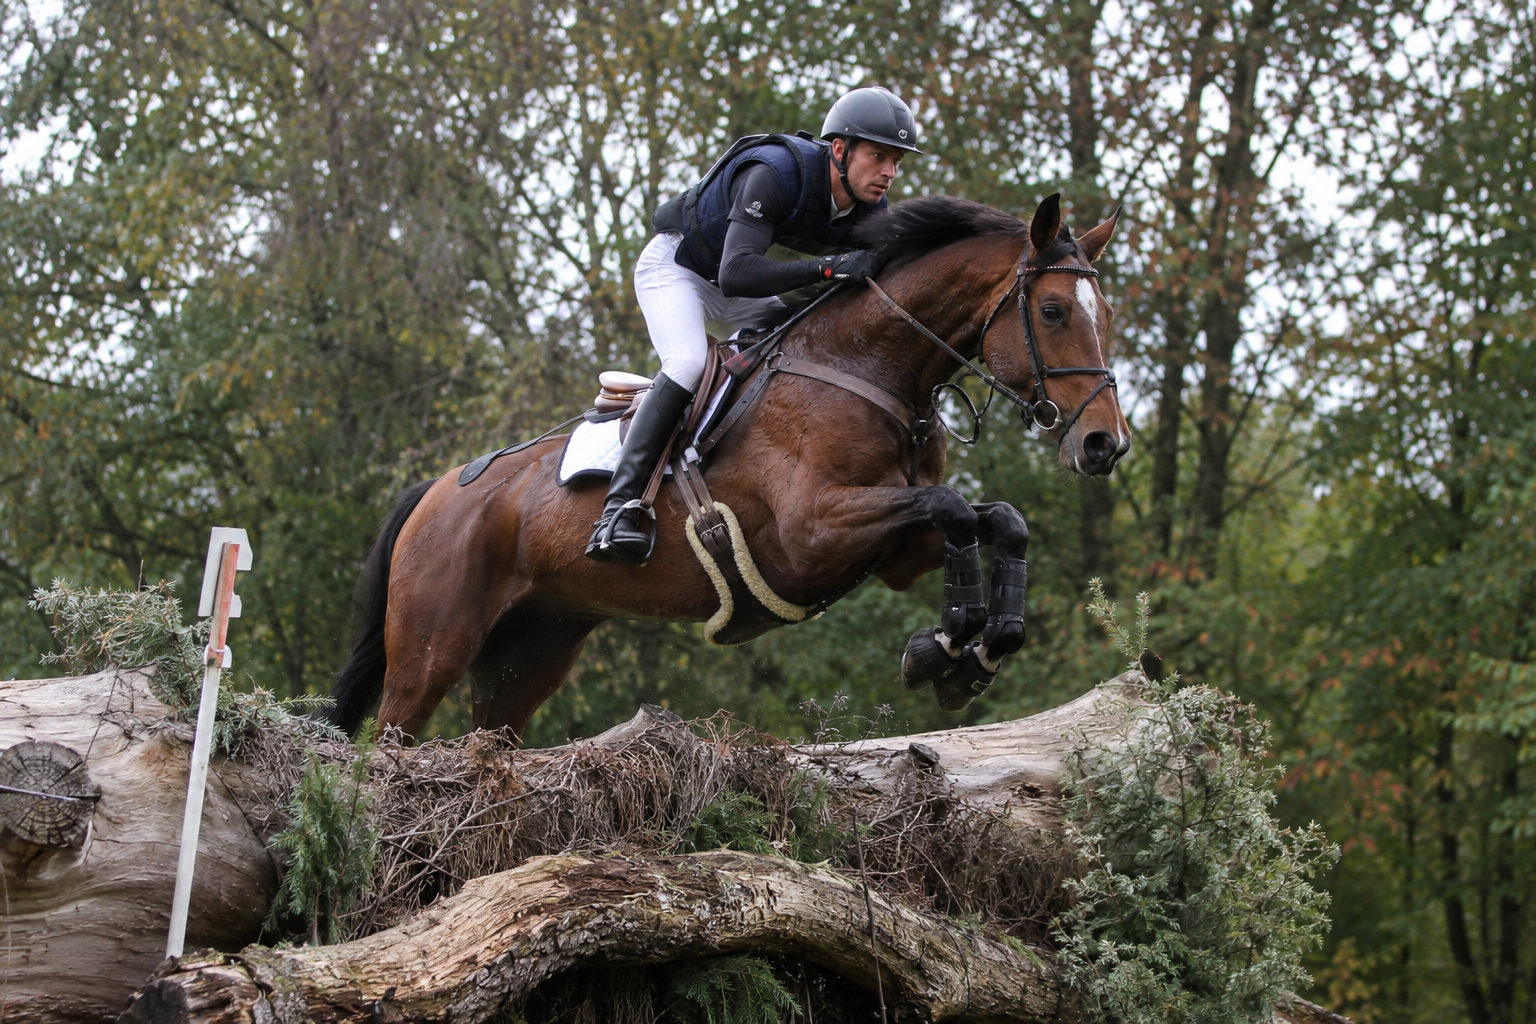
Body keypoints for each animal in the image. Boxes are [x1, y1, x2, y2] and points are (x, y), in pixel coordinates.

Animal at [324, 193, 1131, 741]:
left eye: (1109, 314)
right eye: (1053, 311)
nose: (1105, 445)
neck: (863, 364)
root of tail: (437, 489)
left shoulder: (893, 551)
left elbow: (999, 520)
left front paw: (976, 650)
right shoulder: (813, 534)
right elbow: (955, 507)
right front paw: (949, 642)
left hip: (532, 648)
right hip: (433, 646)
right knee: (394, 735)